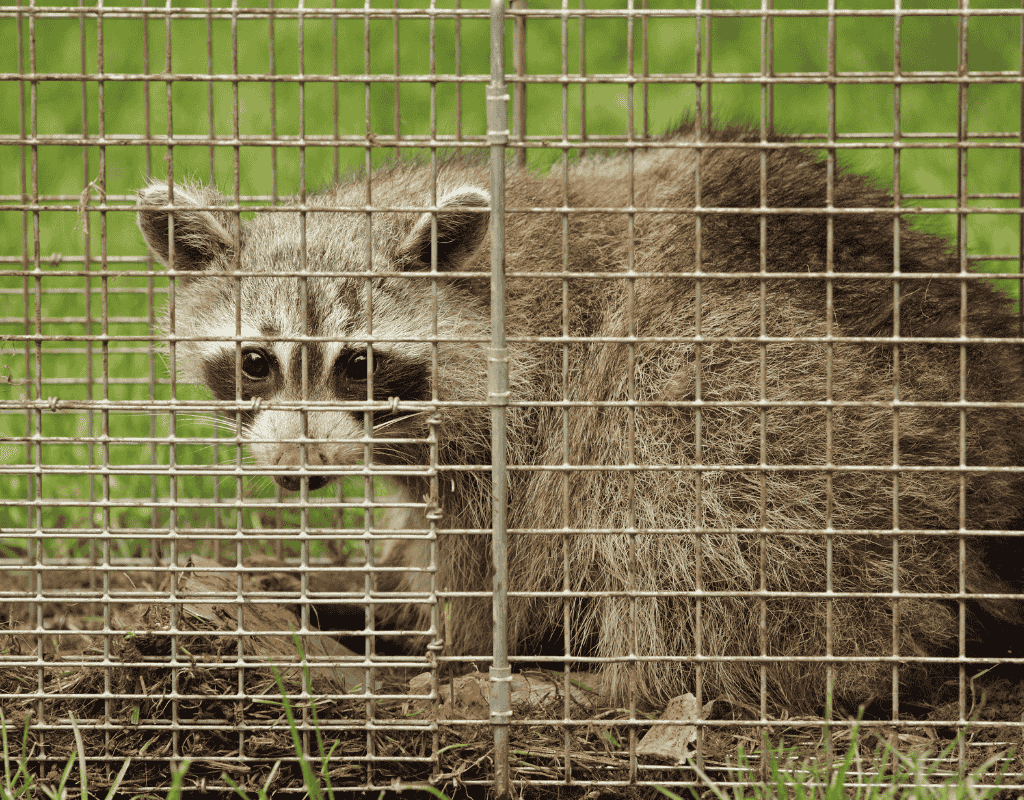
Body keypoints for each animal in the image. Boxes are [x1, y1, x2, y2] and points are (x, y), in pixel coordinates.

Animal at [138, 120, 1024, 716]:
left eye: (357, 365)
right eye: (257, 362)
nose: (299, 469)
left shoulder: (521, 430)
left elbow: (491, 576)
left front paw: (450, 648)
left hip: (830, 430)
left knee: (662, 455)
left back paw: (618, 683)